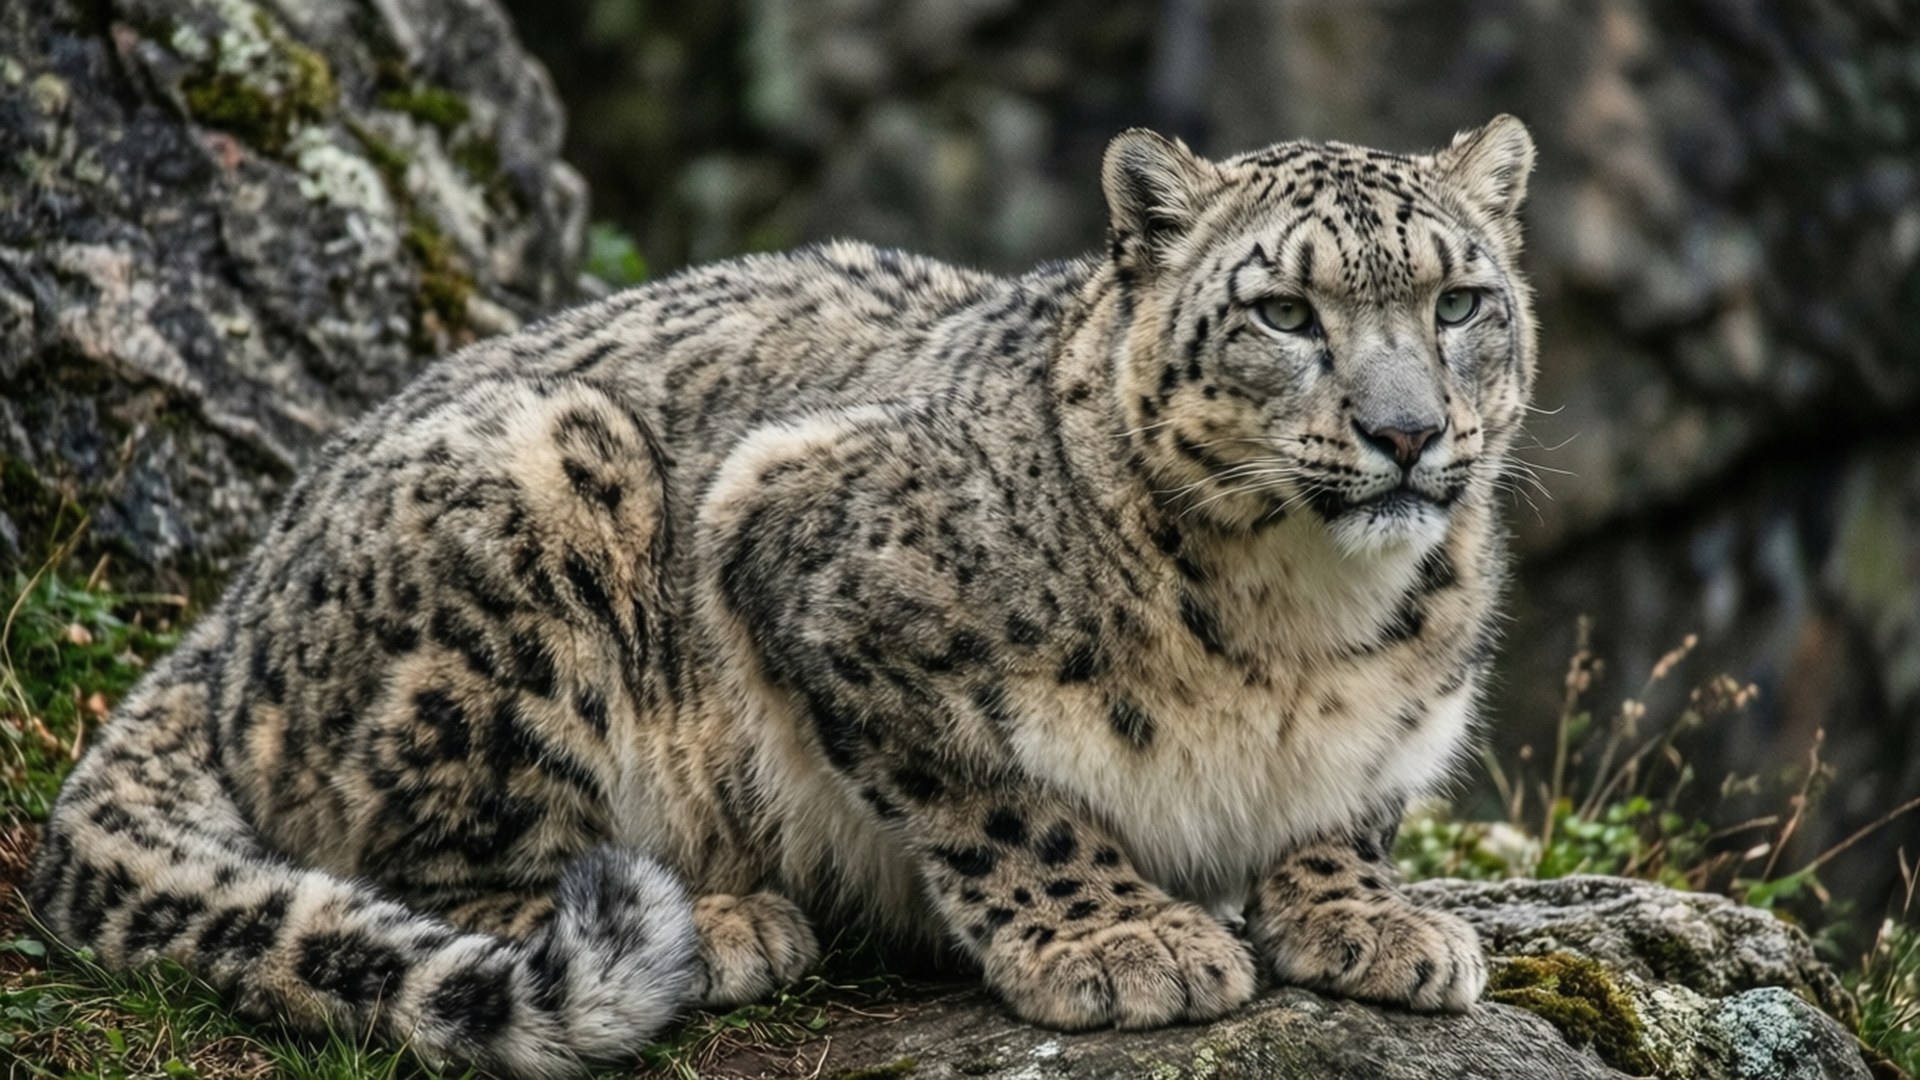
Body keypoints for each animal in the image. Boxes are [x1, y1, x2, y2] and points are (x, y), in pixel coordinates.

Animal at [29, 115, 1538, 1077]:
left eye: (1461, 300)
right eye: (1286, 313)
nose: (1409, 432)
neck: (1303, 623)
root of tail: (234, 599)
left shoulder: (1403, 718)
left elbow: (1350, 809)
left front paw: (1373, 918)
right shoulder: (823, 570)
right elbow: (1000, 803)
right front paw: (1124, 940)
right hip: (538, 517)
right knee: (424, 857)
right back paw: (724, 924)